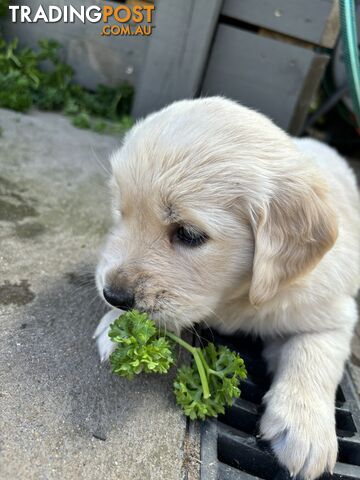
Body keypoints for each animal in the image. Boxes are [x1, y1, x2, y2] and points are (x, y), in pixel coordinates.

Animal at [93, 95, 360, 478]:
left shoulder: (331, 310)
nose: (113, 295)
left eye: (189, 234)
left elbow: (313, 352)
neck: (239, 296)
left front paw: (304, 428)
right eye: (121, 212)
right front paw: (115, 325)